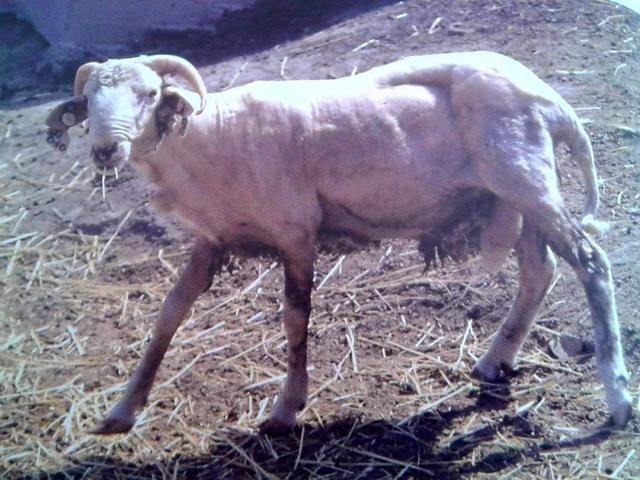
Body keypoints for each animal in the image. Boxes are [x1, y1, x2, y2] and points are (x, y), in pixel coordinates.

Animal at [45, 52, 632, 436]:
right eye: (88, 102)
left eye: (149, 94)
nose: (105, 150)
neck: (211, 137)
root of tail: (551, 98)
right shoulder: (212, 239)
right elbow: (168, 314)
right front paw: (124, 409)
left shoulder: (296, 230)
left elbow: (294, 318)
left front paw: (286, 409)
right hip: (515, 193)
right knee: (540, 271)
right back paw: (494, 361)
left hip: (524, 177)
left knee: (590, 262)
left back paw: (618, 396)